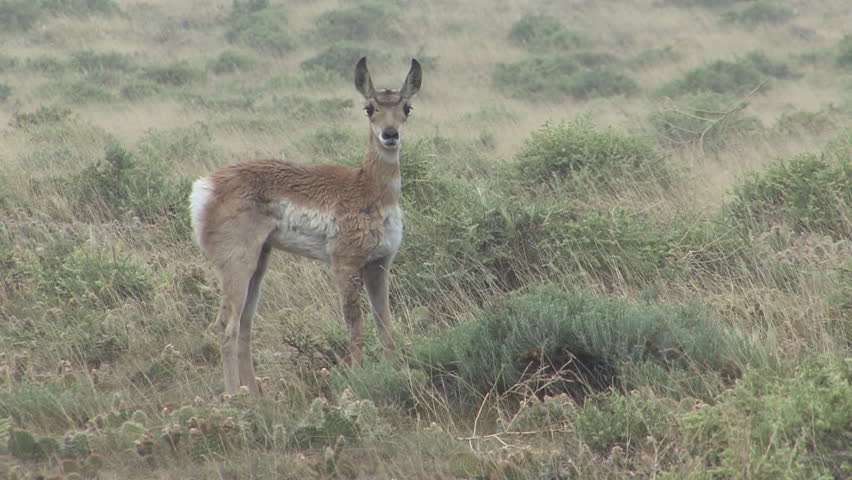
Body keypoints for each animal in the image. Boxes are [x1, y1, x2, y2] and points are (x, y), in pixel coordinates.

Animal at [189, 57, 421, 395]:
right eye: (369, 108)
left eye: (406, 107)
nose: (390, 134)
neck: (368, 187)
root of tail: (206, 186)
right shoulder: (345, 265)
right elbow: (356, 327)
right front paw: (358, 378)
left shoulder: (379, 265)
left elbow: (386, 328)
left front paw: (393, 374)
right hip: (237, 265)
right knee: (226, 325)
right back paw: (234, 395)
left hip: (259, 264)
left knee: (245, 324)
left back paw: (256, 395)